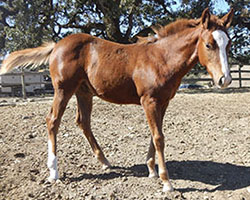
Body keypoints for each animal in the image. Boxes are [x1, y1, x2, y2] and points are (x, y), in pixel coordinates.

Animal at [0, 8, 234, 191]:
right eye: (209, 45)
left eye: (228, 44)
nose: (225, 80)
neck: (161, 58)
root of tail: (57, 45)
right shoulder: (149, 101)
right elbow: (159, 137)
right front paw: (166, 182)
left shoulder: (163, 102)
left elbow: (154, 134)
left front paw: (151, 169)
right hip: (63, 90)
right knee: (53, 121)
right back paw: (54, 172)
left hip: (83, 93)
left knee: (83, 122)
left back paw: (104, 161)